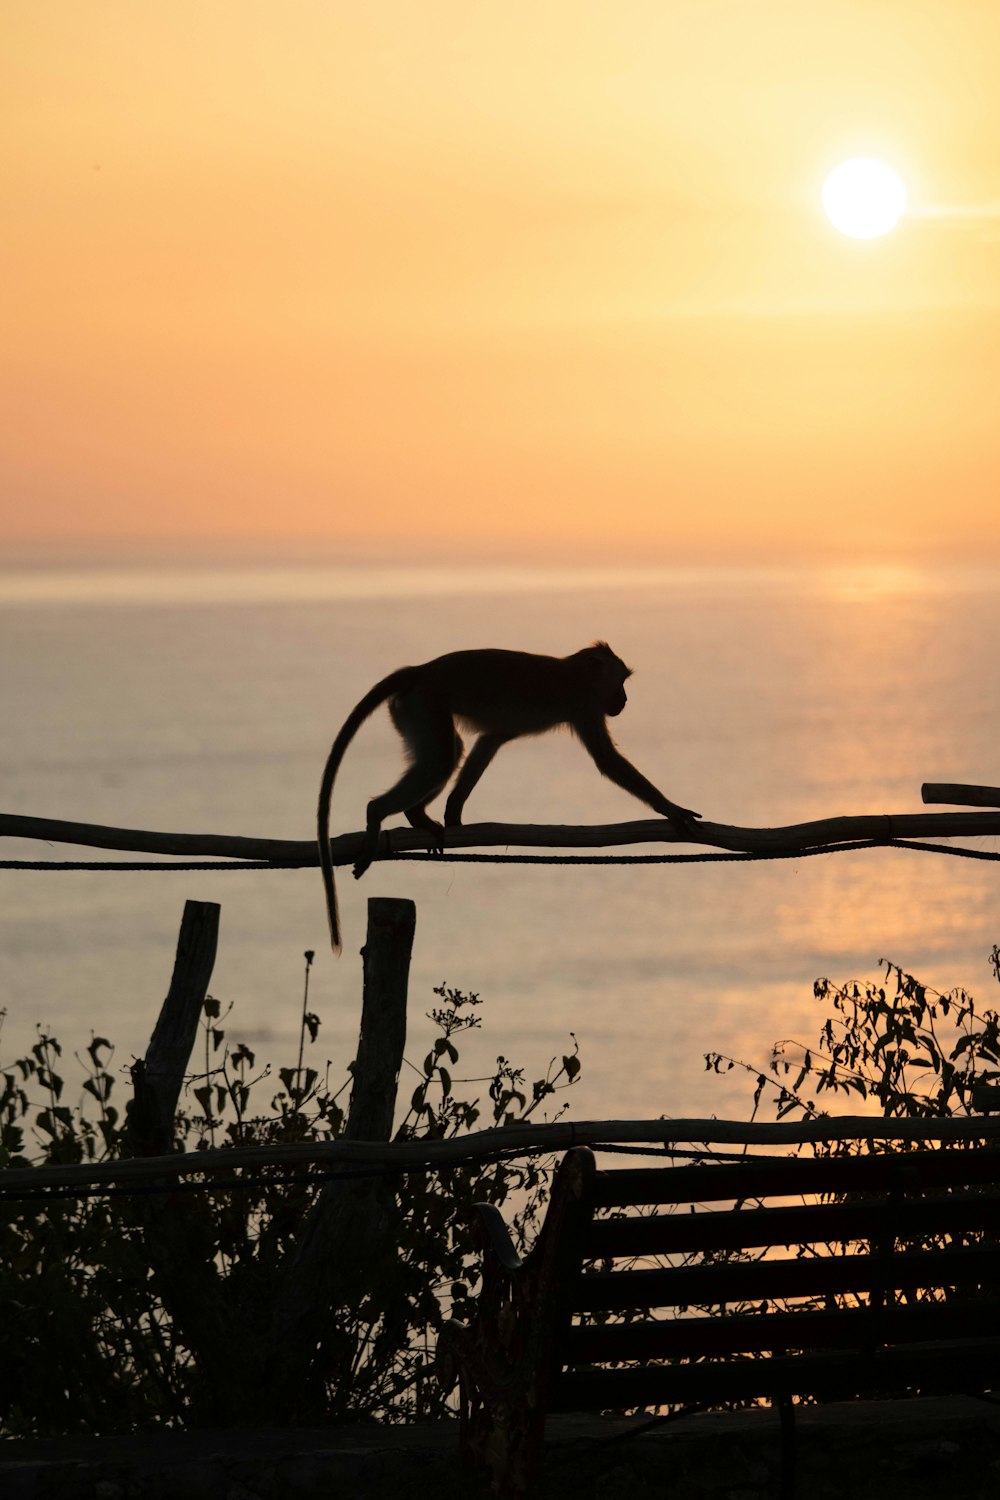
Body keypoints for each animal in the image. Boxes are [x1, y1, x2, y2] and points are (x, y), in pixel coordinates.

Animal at [316, 642, 701, 948]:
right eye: (620, 682)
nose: (624, 699)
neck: (575, 673)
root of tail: (421, 669)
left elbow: (490, 740)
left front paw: (454, 812)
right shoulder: (585, 704)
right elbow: (607, 761)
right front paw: (670, 808)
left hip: (413, 709)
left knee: (448, 752)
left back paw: (417, 816)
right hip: (426, 702)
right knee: (441, 759)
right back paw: (375, 814)